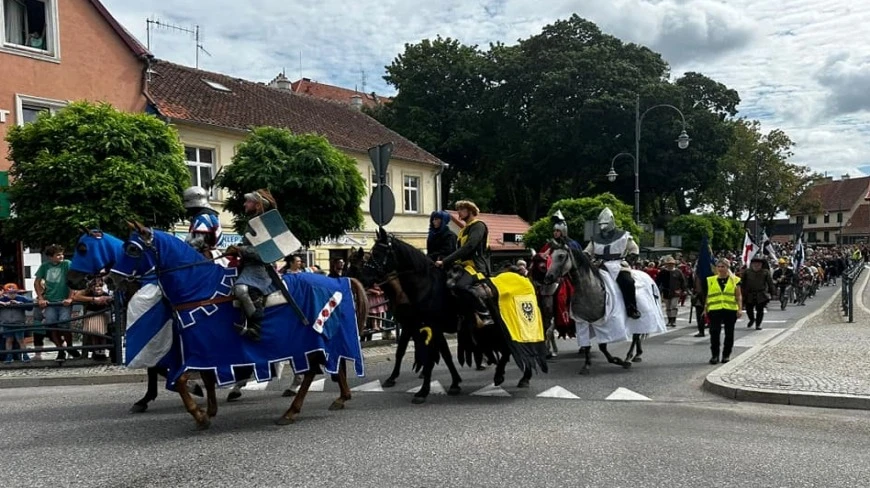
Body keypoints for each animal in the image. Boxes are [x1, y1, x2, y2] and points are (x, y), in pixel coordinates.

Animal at [109, 223, 368, 428]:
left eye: (132, 249)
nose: (114, 280)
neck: (200, 288)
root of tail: (338, 279)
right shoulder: (204, 351)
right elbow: (204, 379)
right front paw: (209, 409)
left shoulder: (203, 351)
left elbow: (180, 381)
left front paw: (199, 415)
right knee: (324, 367)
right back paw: (337, 398)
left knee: (313, 370)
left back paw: (292, 411)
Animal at [544, 240, 668, 374]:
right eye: (550, 256)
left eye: (561, 256)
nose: (548, 277)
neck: (591, 289)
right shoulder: (583, 322)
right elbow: (587, 345)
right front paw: (586, 365)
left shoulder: (606, 324)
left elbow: (602, 346)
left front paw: (618, 360)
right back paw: (636, 355)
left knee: (635, 336)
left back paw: (629, 358)